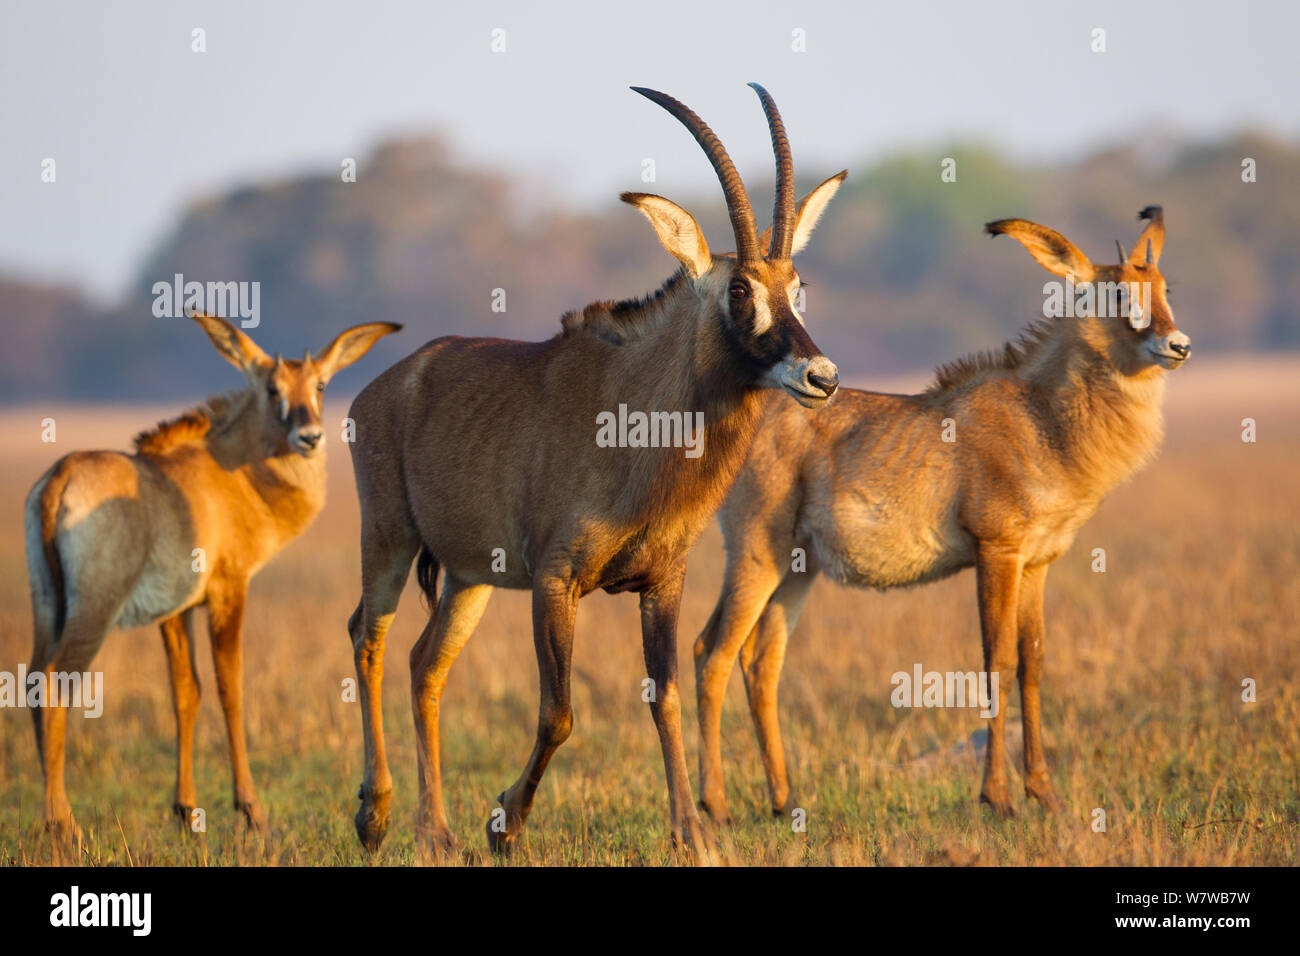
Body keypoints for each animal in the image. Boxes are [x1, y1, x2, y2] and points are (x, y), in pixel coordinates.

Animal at [24, 312, 400, 837]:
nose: (309, 437)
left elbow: (186, 691)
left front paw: (185, 810)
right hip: (93, 612)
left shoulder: (174, 610)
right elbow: (229, 689)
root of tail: (59, 482)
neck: (233, 472)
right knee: (55, 683)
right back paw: (64, 824)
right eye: (271, 388)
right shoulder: (229, 590)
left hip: (48, 607)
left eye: (320, 384)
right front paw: (252, 810)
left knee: (33, 680)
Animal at [348, 83, 852, 858]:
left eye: (797, 284)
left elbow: (665, 696)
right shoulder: (555, 581)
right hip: (389, 539)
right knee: (368, 641)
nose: (820, 376)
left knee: (423, 664)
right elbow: (558, 712)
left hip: (467, 577)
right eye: (740, 289)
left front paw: (692, 834)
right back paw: (375, 817)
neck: (635, 419)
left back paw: (436, 833)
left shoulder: (662, 580)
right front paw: (506, 824)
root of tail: (386, 385)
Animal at [696, 208, 1190, 822]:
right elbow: (996, 662)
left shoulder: (1037, 563)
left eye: (1166, 287)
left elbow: (1033, 663)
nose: (1177, 344)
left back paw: (785, 802)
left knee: (760, 661)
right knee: (713, 652)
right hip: (755, 554)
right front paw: (998, 797)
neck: (1041, 417)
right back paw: (715, 808)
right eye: (1118, 291)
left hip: (796, 569)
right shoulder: (997, 552)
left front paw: (1045, 794)